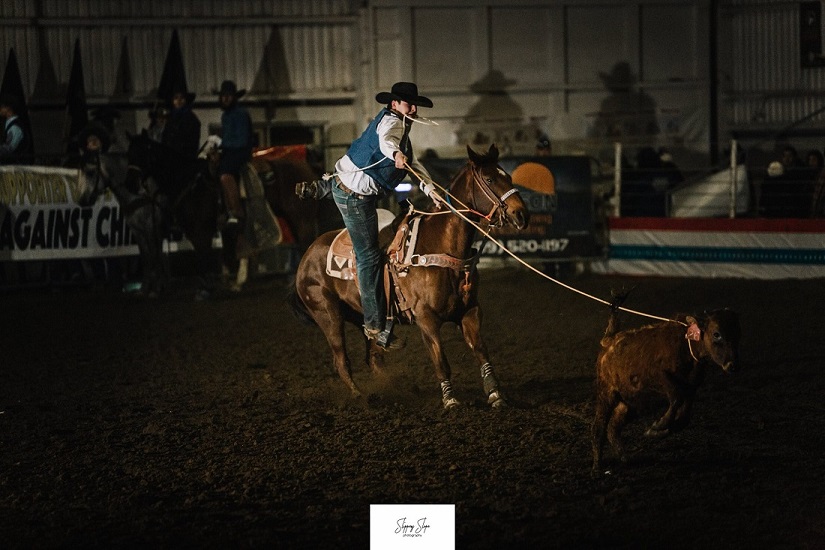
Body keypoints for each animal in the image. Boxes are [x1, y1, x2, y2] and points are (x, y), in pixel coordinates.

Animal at [288, 144, 528, 412]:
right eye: (489, 179)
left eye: (508, 177)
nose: (522, 214)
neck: (441, 244)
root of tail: (307, 256)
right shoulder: (426, 318)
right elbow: (440, 360)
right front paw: (450, 399)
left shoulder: (470, 311)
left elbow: (481, 351)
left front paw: (495, 394)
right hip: (328, 315)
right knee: (341, 360)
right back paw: (361, 397)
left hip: (362, 316)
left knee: (373, 356)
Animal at [592, 300, 740, 476]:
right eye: (716, 334)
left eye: (737, 334)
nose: (732, 365)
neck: (686, 344)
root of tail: (609, 340)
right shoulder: (662, 377)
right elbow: (676, 399)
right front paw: (658, 426)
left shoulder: (691, 388)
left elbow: (684, 418)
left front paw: (660, 431)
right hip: (606, 392)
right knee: (599, 427)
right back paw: (598, 467)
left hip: (633, 402)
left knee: (613, 427)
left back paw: (624, 458)